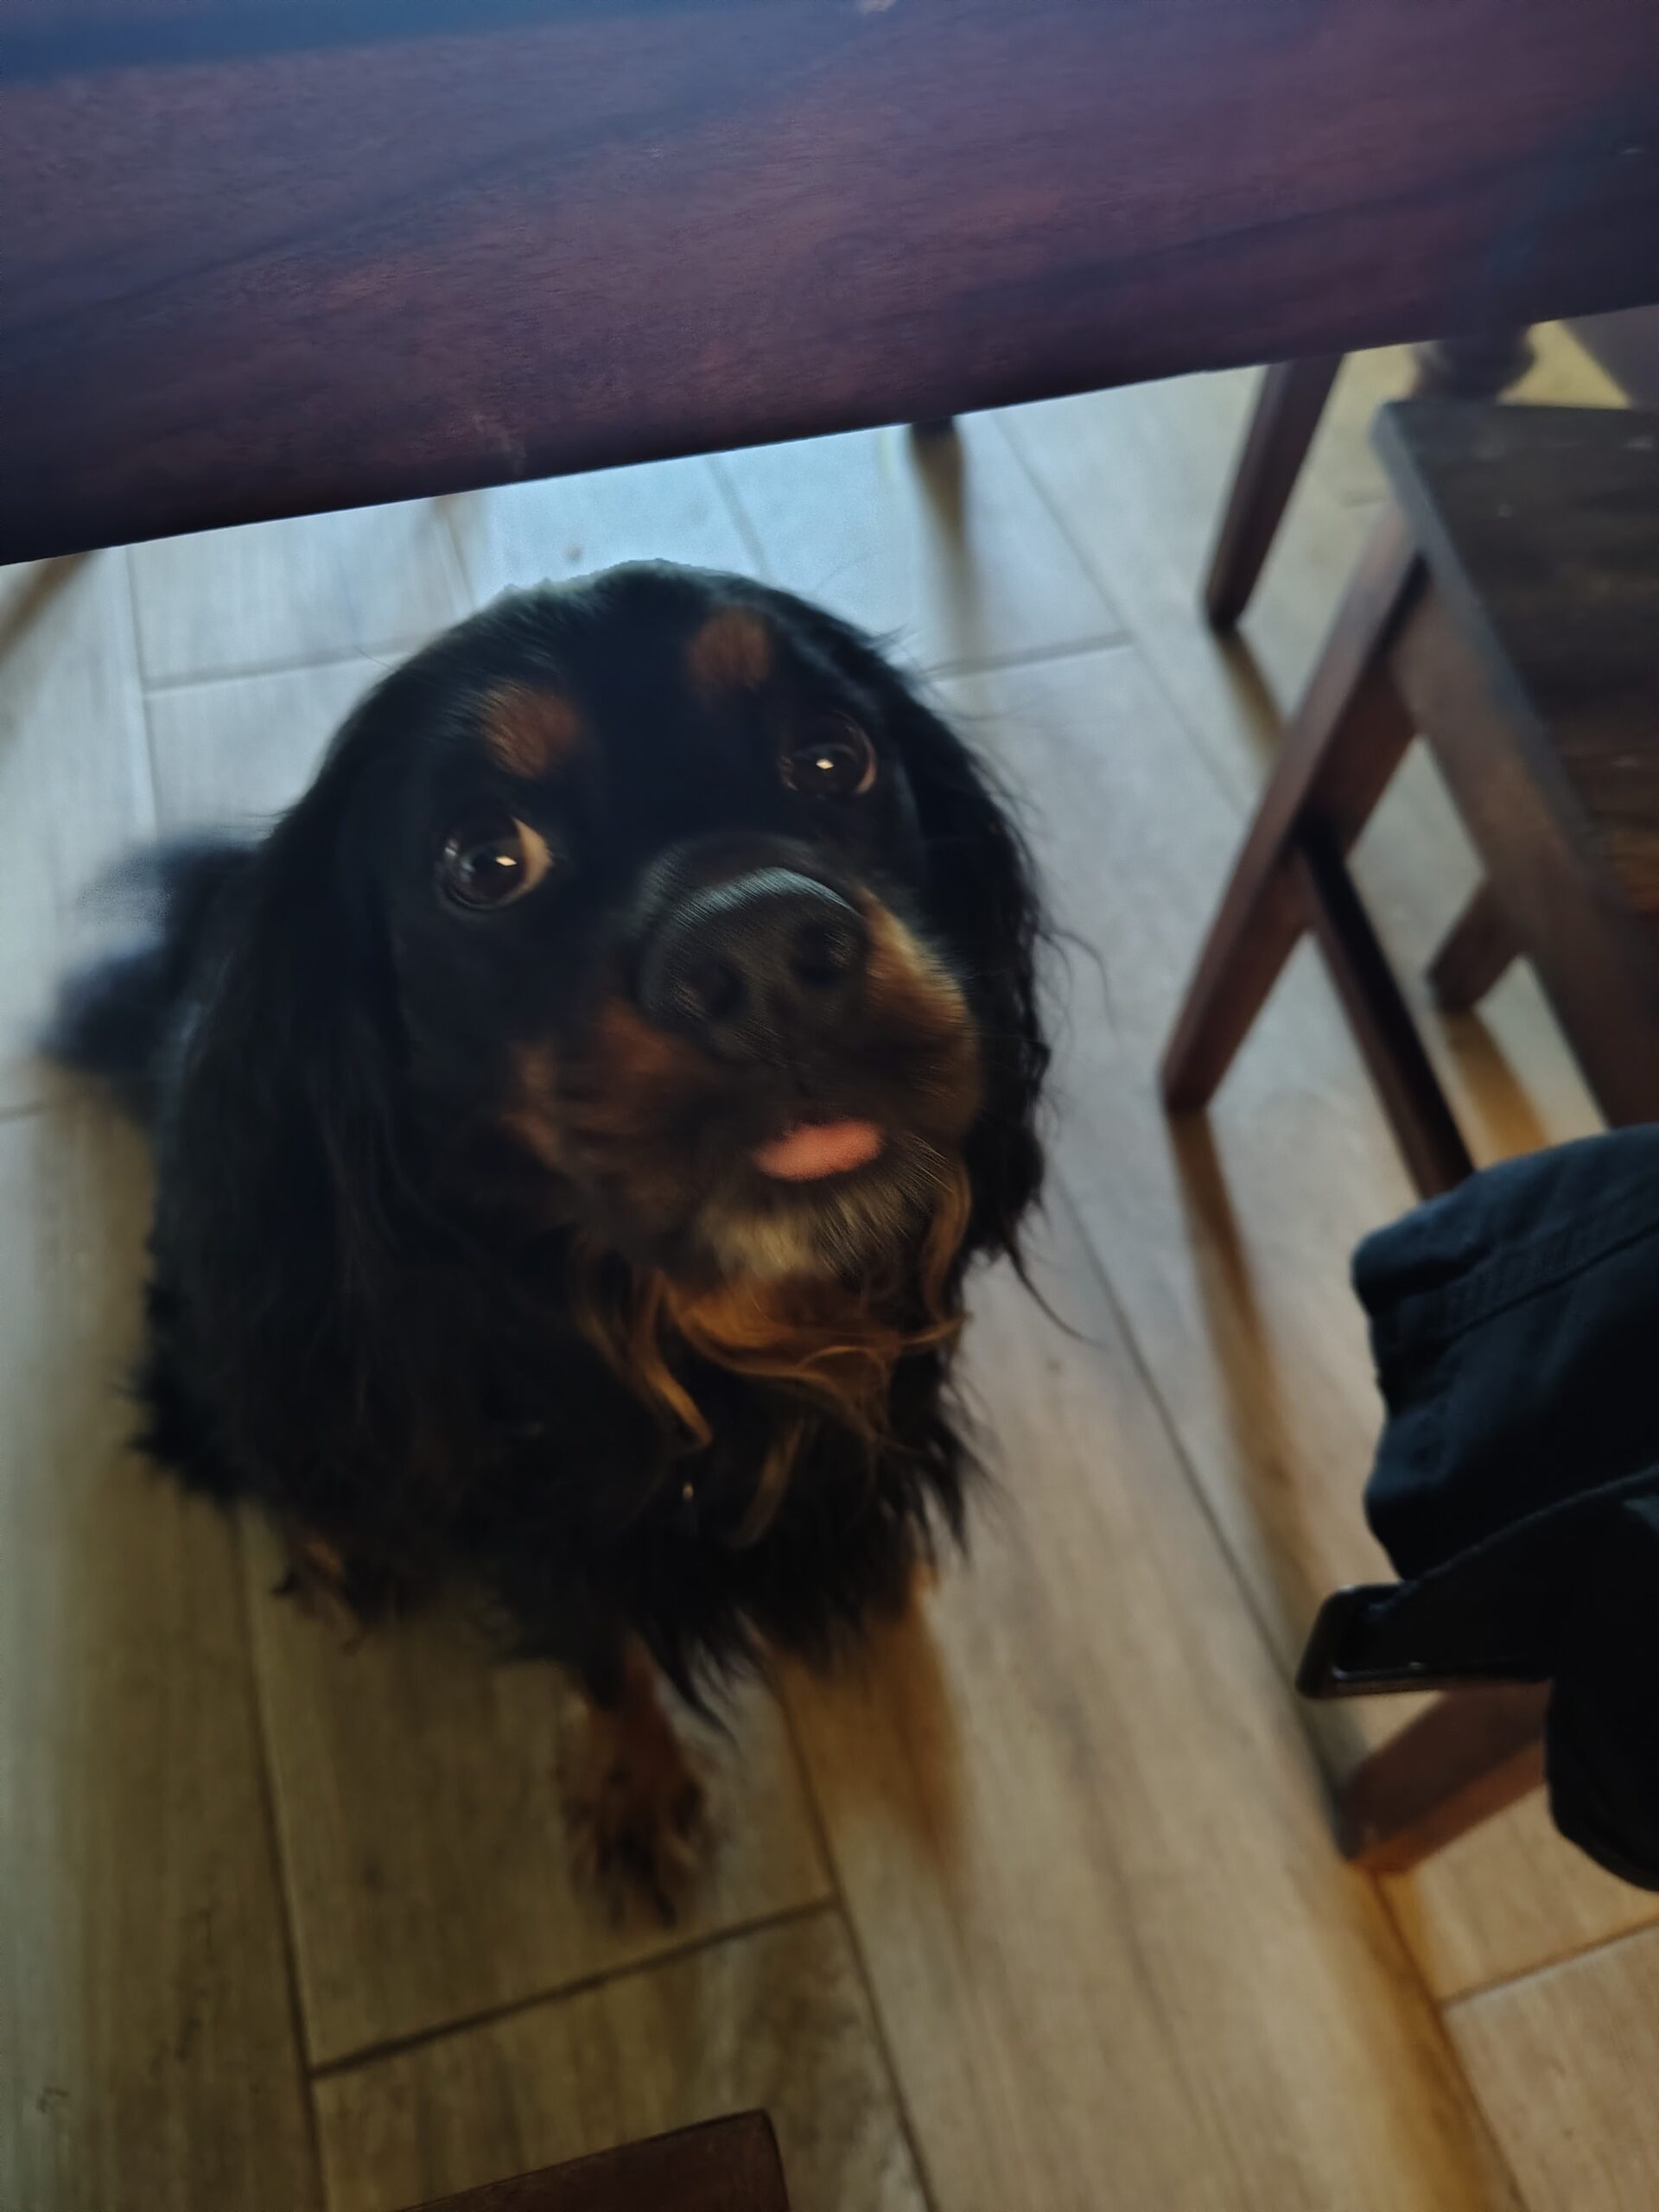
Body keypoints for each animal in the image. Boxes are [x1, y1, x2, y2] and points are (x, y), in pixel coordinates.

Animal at [52, 562, 1048, 1905]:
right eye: (486, 862)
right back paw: (336, 1543)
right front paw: (634, 1791)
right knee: (248, 1431)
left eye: (833, 760)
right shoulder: (536, 1516)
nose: (764, 950)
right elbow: (599, 1646)